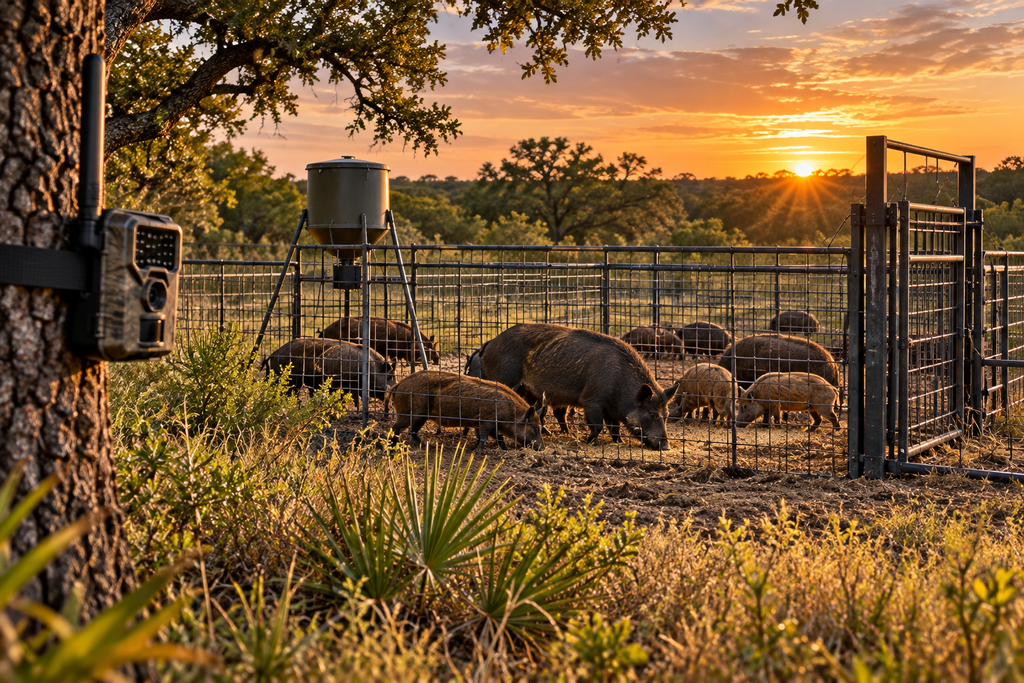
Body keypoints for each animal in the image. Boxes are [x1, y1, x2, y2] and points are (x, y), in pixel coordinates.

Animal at [385, 370, 544, 451]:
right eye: (535, 428)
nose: (542, 447)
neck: (510, 413)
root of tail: (398, 385)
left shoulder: (482, 424)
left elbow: (495, 437)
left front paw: (504, 449)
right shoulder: (486, 421)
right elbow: (485, 437)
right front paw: (476, 451)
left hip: (418, 416)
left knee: (411, 430)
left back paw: (422, 444)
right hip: (412, 414)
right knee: (397, 428)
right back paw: (395, 445)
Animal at [480, 323, 677, 450]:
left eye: (666, 415)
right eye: (652, 415)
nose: (666, 447)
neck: (620, 384)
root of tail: (490, 343)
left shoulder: (612, 408)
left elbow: (614, 426)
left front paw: (619, 442)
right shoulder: (592, 400)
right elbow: (597, 425)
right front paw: (591, 443)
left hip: (528, 391)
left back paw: (547, 433)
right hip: (504, 377)